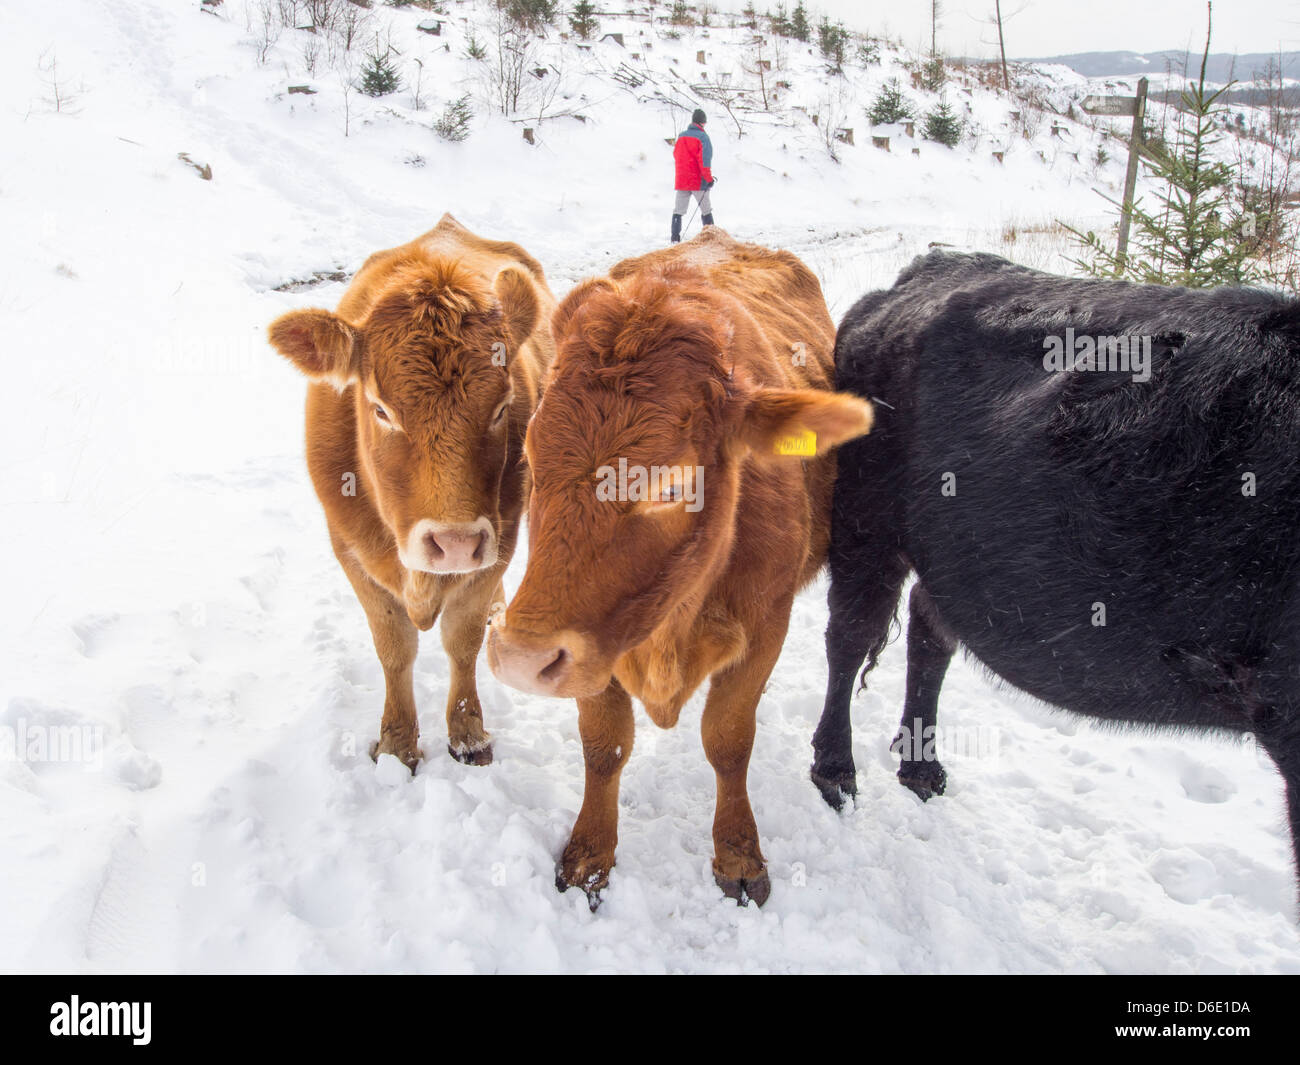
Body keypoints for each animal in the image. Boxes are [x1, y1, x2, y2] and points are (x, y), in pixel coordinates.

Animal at [269, 211, 553, 769]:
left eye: (503, 405)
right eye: (381, 409)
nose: (456, 543)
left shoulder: (499, 545)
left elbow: (462, 641)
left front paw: (468, 735)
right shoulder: (350, 550)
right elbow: (394, 647)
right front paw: (398, 743)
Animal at [488, 227, 873, 910]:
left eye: (671, 484)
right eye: (530, 453)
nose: (520, 660)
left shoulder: (764, 627)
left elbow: (728, 738)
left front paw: (738, 854)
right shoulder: (597, 639)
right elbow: (604, 745)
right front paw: (590, 858)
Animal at [811, 249, 1300, 889]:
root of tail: (929, 267)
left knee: (929, 632)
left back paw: (922, 770)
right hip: (866, 525)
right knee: (851, 636)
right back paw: (836, 772)